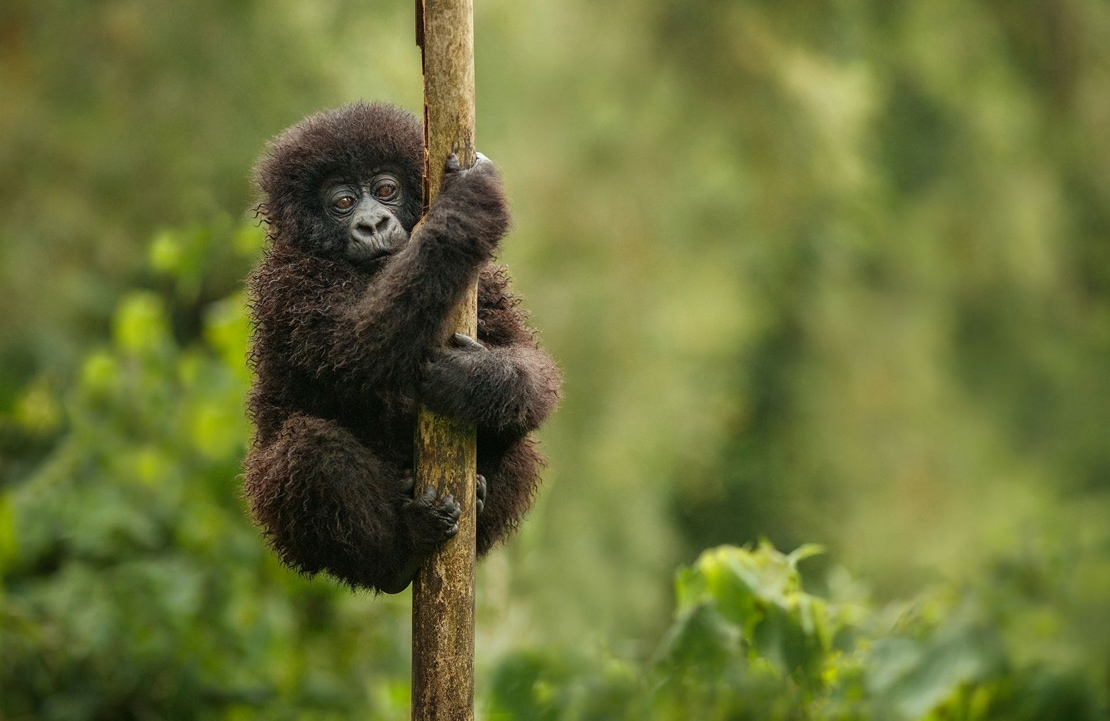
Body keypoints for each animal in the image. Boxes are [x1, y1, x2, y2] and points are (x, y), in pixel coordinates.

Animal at [239, 103, 559, 594]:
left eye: (386, 190)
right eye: (343, 202)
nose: (373, 223)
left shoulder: (485, 282)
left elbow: (531, 367)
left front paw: (473, 381)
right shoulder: (288, 285)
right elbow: (358, 347)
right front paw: (466, 206)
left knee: (520, 441)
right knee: (309, 450)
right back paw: (400, 553)